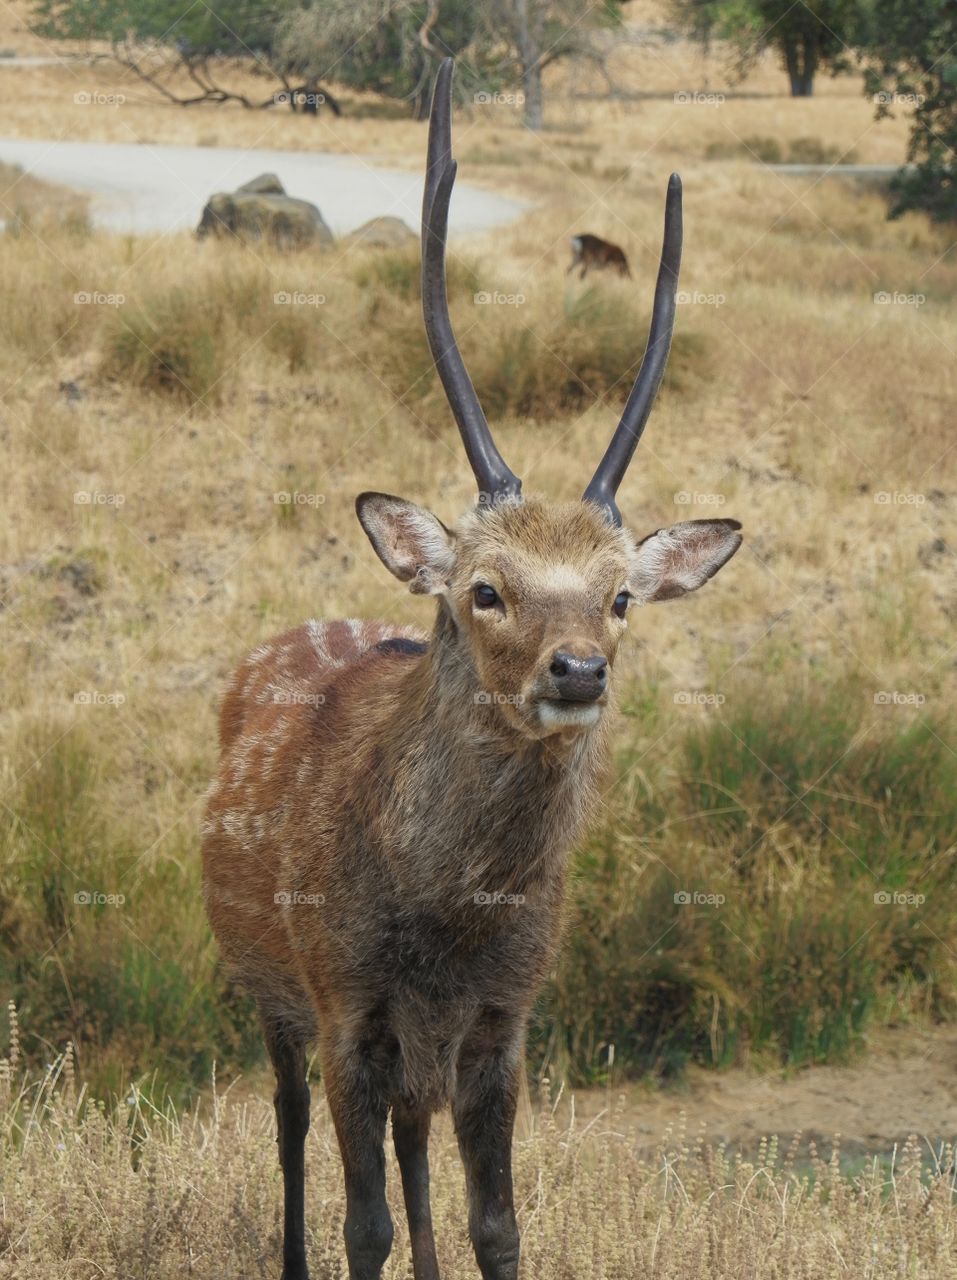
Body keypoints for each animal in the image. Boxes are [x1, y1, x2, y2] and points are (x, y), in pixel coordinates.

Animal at [199, 57, 742, 1280]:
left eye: (621, 596)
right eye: (484, 589)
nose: (578, 669)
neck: (451, 925)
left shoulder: (504, 1021)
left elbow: (498, 1221)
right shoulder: (345, 1002)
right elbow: (361, 1224)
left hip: (414, 1055)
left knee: (411, 1135)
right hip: (262, 982)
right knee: (288, 1125)